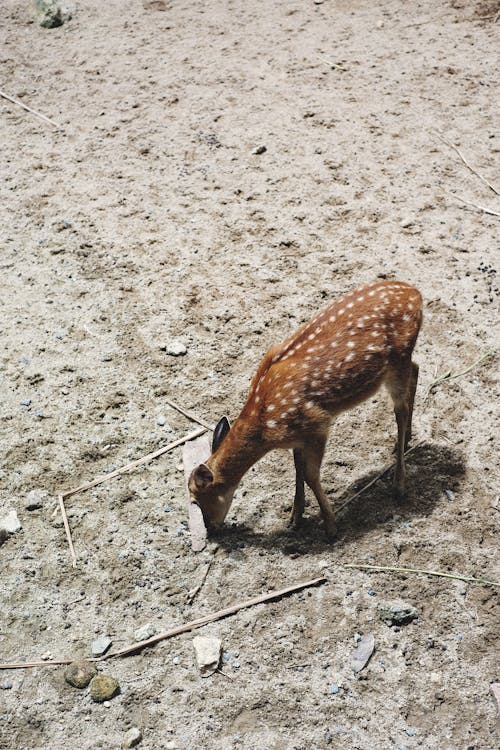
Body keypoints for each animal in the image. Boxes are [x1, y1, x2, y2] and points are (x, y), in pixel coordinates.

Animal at [188, 280, 422, 536]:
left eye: (196, 500)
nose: (210, 530)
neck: (265, 425)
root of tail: (415, 293)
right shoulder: (298, 435)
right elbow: (297, 467)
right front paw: (295, 518)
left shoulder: (317, 423)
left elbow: (310, 475)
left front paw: (330, 527)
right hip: (402, 362)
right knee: (416, 369)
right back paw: (406, 442)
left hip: (398, 360)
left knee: (400, 409)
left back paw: (399, 484)